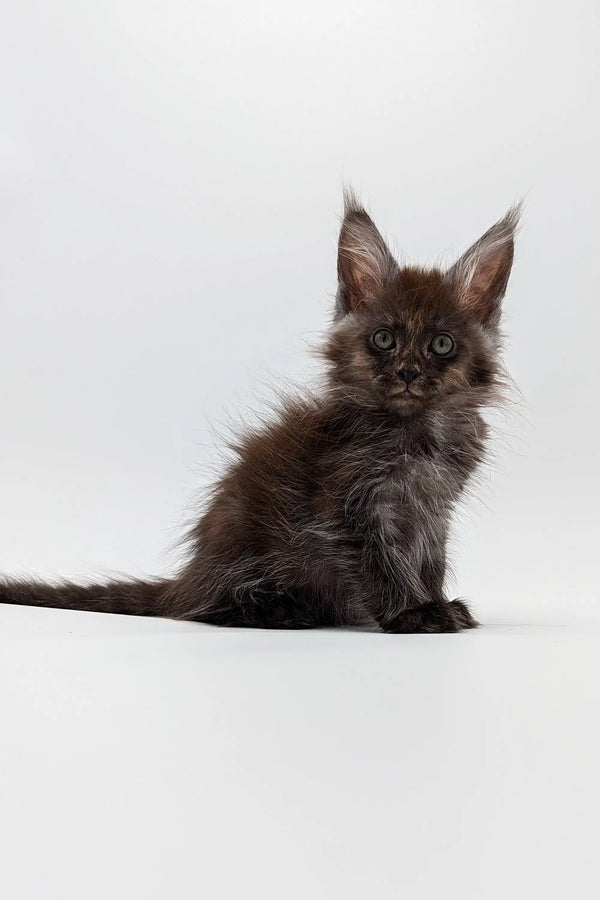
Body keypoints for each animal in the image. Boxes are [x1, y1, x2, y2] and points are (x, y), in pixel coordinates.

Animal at [0, 192, 520, 632]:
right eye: (384, 339)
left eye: (442, 345)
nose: (409, 372)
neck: (417, 431)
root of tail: (189, 576)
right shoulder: (350, 505)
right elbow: (381, 563)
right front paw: (412, 612)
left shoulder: (434, 509)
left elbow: (430, 560)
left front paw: (434, 600)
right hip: (242, 537)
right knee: (205, 607)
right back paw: (279, 608)